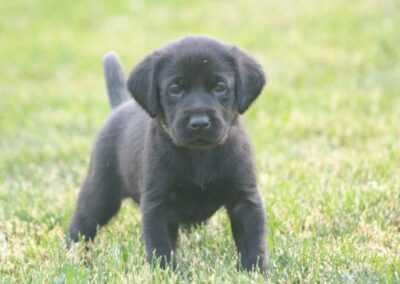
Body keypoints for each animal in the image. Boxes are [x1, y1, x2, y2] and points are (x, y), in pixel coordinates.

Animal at [67, 35, 268, 270]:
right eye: (175, 89)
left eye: (219, 87)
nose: (199, 123)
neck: (199, 155)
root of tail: (120, 106)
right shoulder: (158, 204)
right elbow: (161, 245)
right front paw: (166, 271)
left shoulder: (245, 199)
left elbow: (252, 240)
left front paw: (254, 269)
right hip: (100, 193)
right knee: (81, 225)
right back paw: (73, 254)